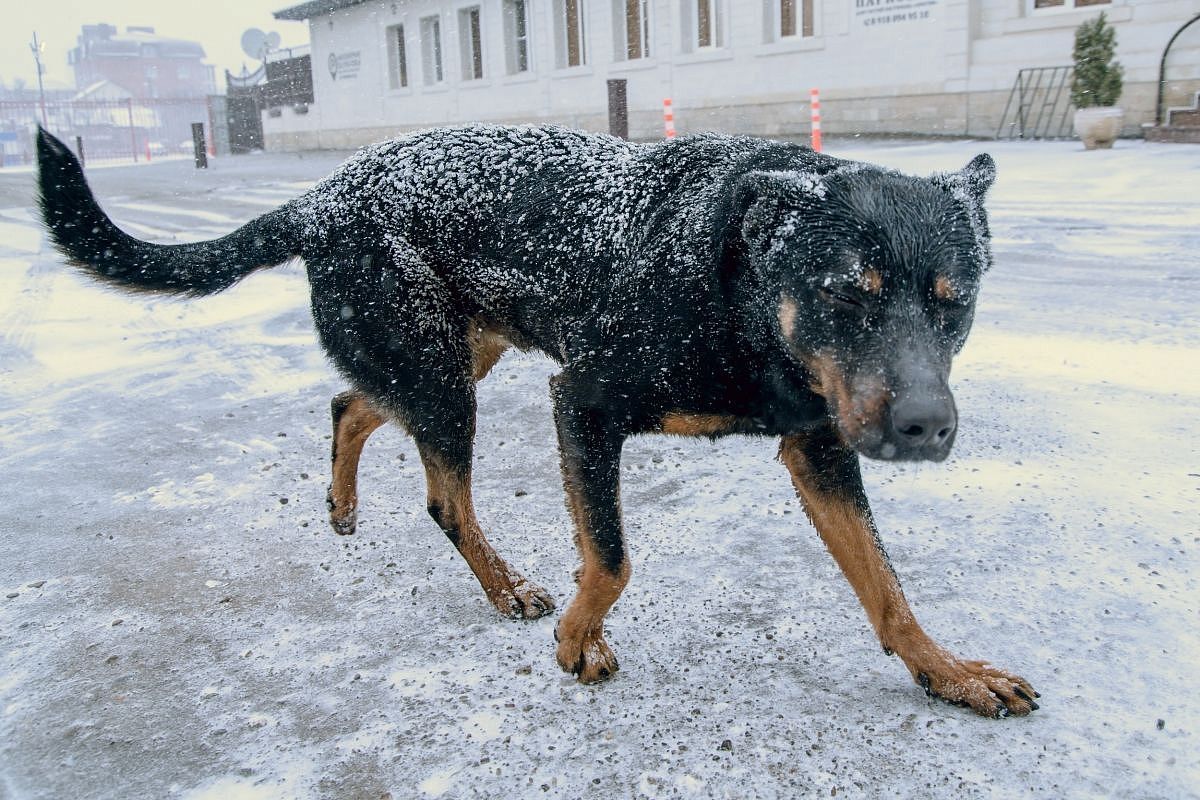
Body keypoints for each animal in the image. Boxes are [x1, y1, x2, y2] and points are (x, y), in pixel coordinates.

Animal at [37, 126, 1041, 719]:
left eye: (955, 301)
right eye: (844, 294)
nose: (926, 427)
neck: (742, 294)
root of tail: (322, 196)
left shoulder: (821, 445)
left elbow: (887, 588)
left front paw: (946, 670)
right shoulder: (585, 405)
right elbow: (612, 557)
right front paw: (576, 638)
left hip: (452, 356)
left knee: (352, 403)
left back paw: (344, 502)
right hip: (445, 380)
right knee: (442, 495)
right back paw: (506, 587)